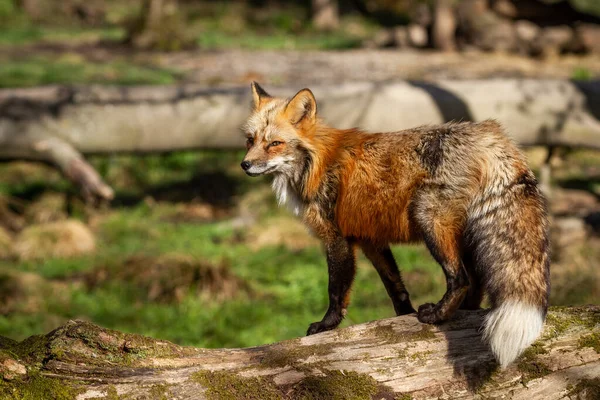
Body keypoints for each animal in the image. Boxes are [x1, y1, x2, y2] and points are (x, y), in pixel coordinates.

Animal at [241, 83, 552, 368]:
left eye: (275, 143)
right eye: (250, 140)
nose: (245, 165)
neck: (316, 164)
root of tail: (491, 134)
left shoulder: (337, 238)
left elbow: (336, 290)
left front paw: (326, 326)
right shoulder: (370, 239)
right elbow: (395, 286)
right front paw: (401, 319)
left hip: (428, 218)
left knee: (460, 278)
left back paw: (437, 315)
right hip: (463, 235)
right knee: (475, 284)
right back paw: (460, 314)